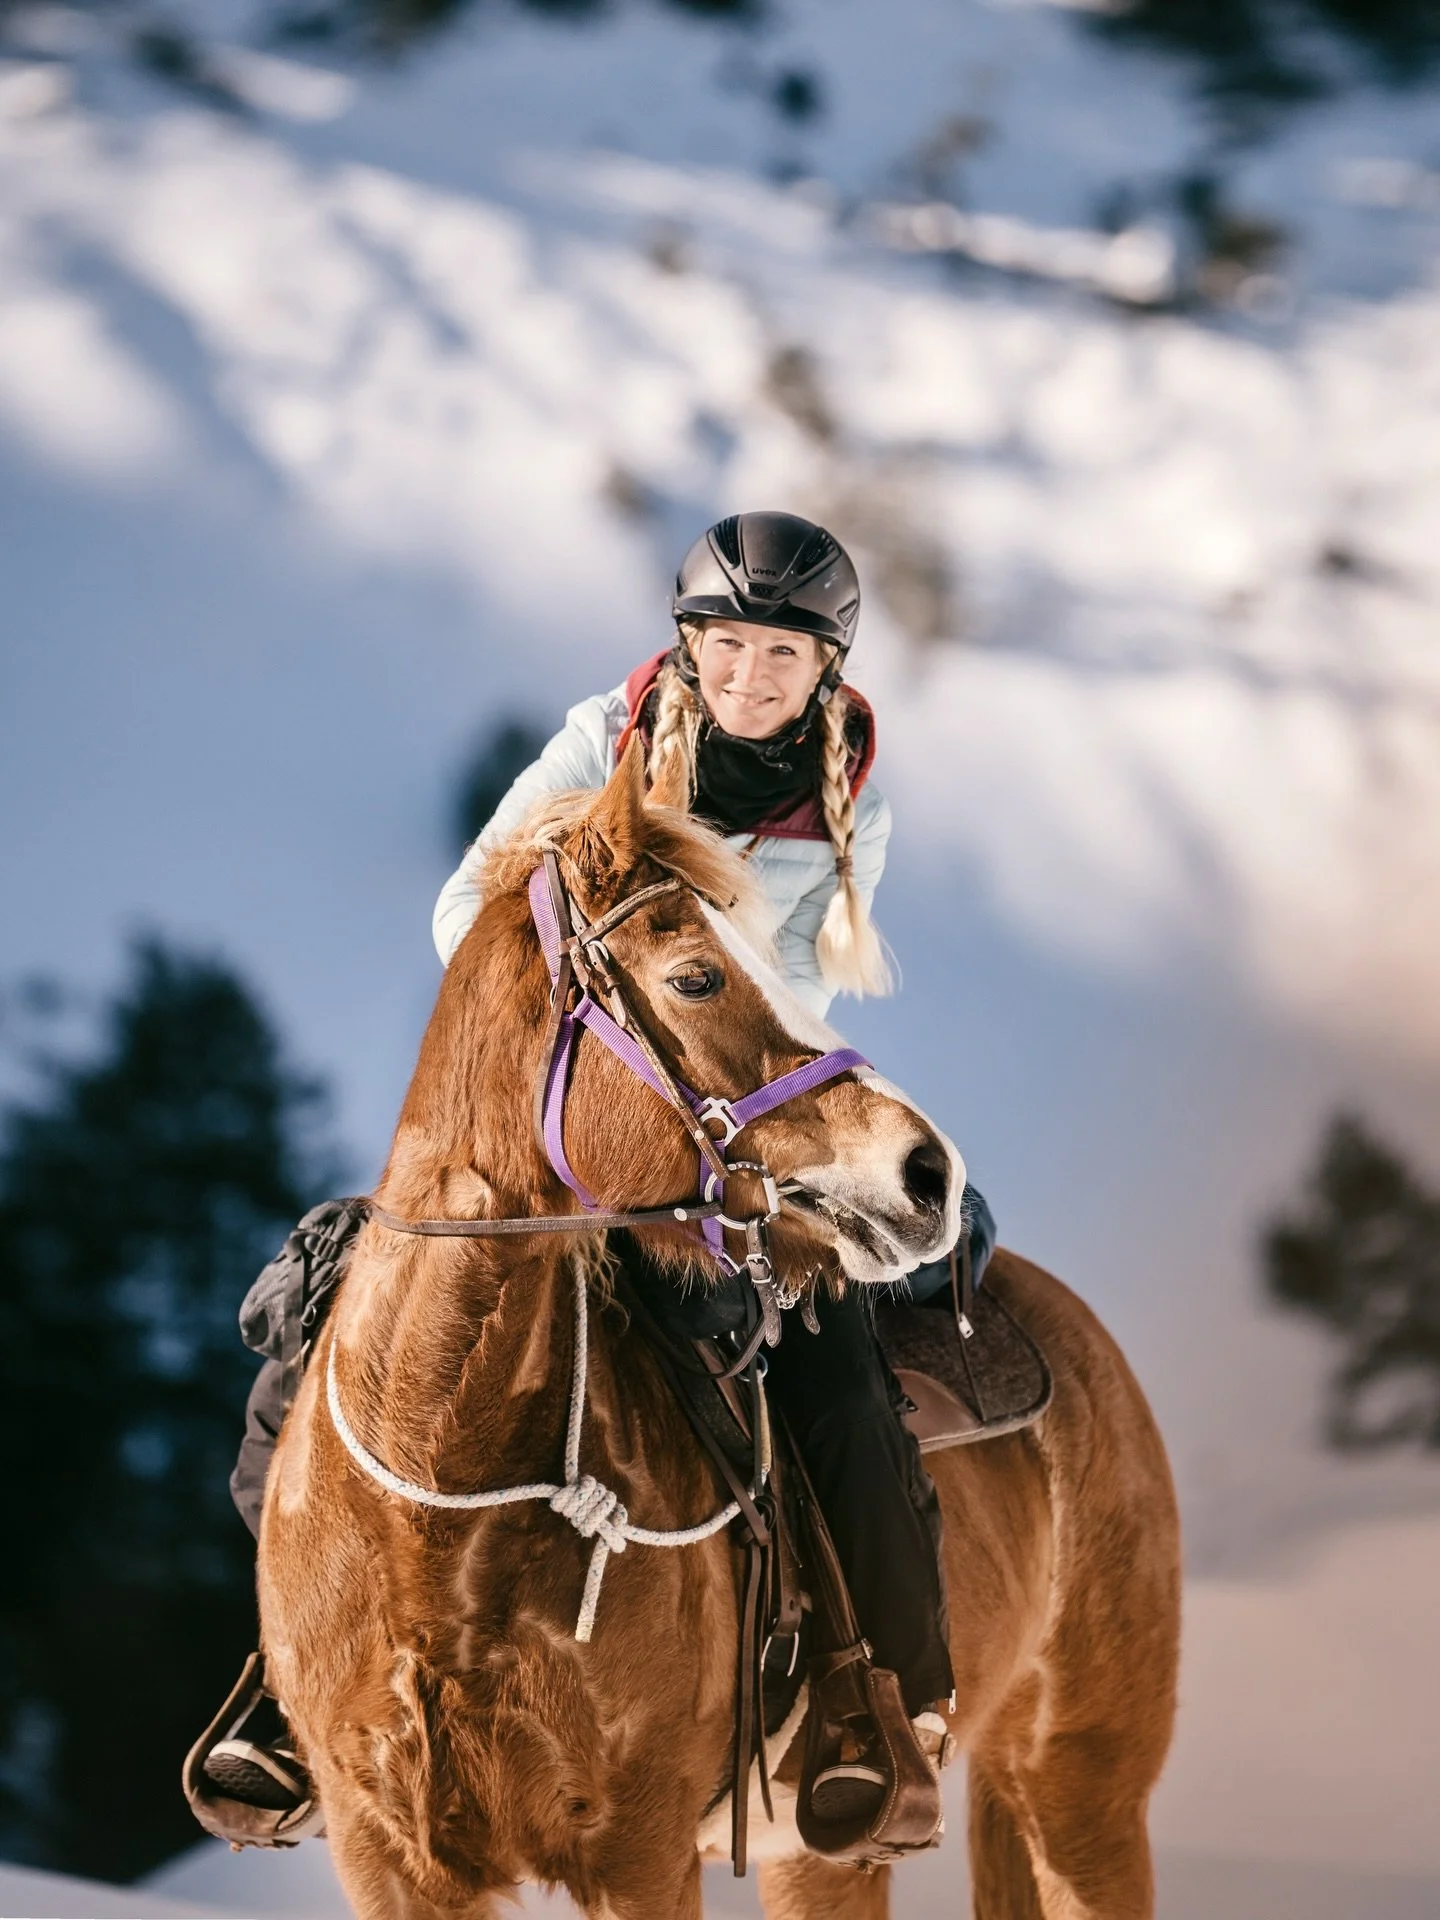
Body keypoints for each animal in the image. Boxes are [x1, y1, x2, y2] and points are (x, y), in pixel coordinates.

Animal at [256, 743, 1181, 1920]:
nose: (929, 1173)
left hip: (1084, 1789)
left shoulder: (639, 1853)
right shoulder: (392, 1860)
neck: (437, 1509)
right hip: (827, 1856)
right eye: (696, 976)